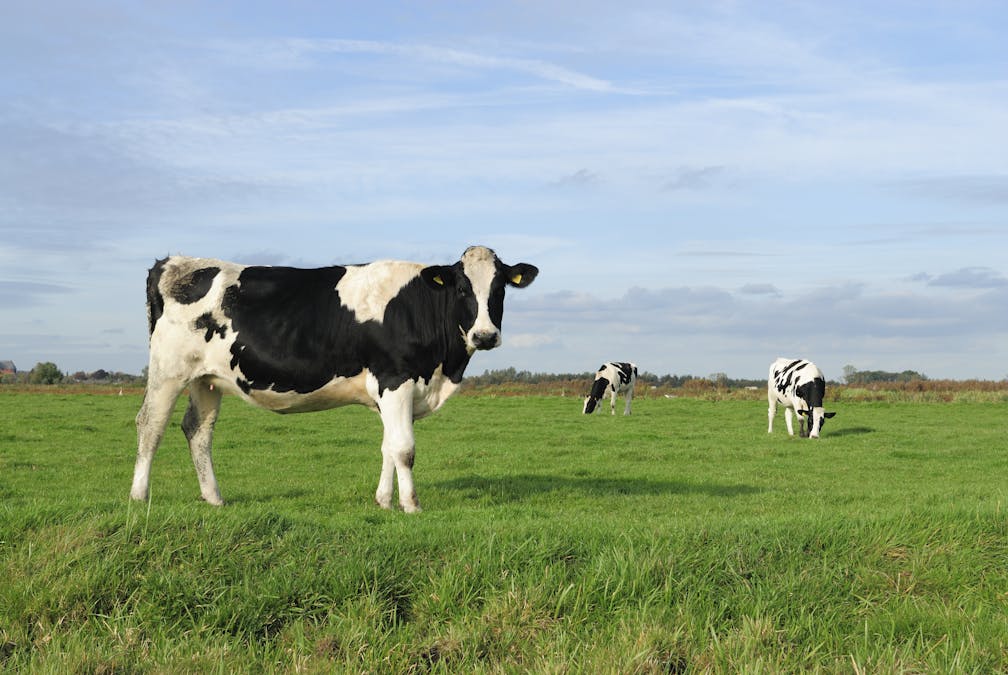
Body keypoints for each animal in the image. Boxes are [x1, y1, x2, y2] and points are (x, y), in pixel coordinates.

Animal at [130, 245, 538, 513]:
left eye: (499, 288)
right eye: (462, 288)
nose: (484, 336)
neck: (441, 369)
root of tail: (172, 262)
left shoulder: (388, 391)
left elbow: (388, 446)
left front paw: (383, 502)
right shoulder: (396, 378)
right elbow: (404, 449)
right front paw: (411, 505)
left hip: (207, 379)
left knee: (197, 430)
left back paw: (214, 498)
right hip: (168, 370)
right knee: (151, 425)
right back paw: (139, 496)